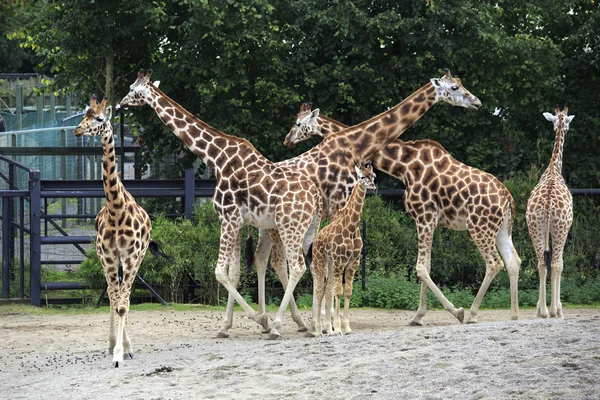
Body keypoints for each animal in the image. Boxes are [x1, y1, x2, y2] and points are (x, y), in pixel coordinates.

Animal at [75, 95, 170, 368]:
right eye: (84, 115)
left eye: (99, 118)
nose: (77, 131)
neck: (116, 210)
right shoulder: (108, 257)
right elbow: (116, 300)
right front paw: (116, 349)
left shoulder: (131, 257)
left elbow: (124, 304)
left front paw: (122, 352)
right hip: (110, 260)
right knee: (113, 293)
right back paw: (112, 344)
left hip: (135, 259)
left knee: (122, 297)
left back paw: (126, 347)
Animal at [118, 71, 324, 338]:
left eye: (133, 89)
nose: (119, 103)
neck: (217, 158)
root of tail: (316, 196)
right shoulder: (237, 222)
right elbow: (233, 273)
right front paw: (228, 326)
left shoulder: (228, 218)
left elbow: (218, 272)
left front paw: (261, 320)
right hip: (309, 228)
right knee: (311, 264)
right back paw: (315, 326)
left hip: (290, 227)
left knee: (297, 266)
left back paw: (279, 326)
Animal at [310, 161, 376, 336]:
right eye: (362, 176)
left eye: (374, 176)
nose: (373, 187)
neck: (352, 227)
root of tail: (317, 238)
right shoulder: (341, 262)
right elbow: (338, 292)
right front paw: (338, 328)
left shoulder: (353, 263)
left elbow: (347, 292)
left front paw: (347, 328)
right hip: (320, 262)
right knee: (319, 291)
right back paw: (318, 330)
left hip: (330, 265)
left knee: (326, 290)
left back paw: (327, 329)